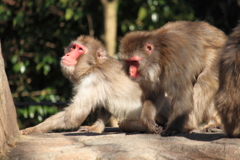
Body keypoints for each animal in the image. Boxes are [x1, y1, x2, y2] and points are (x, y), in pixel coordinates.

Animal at [20, 35, 171, 134]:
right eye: (73, 47)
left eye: (80, 49)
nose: (68, 54)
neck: (92, 66)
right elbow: (104, 105)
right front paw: (95, 128)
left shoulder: (93, 80)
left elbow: (74, 116)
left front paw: (34, 129)